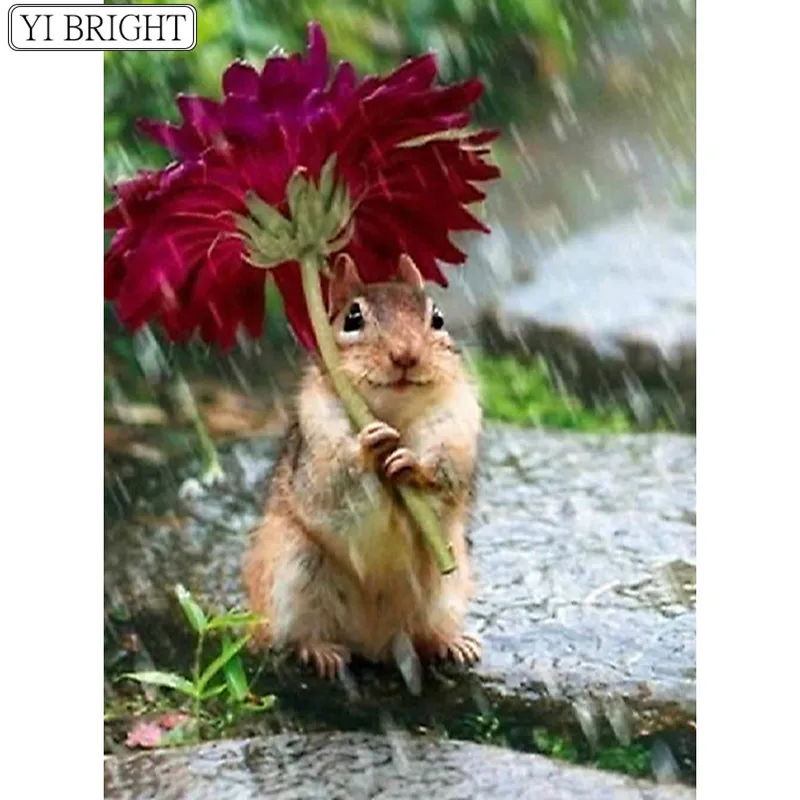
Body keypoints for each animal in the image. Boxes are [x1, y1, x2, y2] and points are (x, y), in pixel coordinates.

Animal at [243, 252, 482, 681]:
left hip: (447, 589)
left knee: (426, 632)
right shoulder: (318, 441)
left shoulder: (456, 429)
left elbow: (445, 477)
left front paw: (412, 465)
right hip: (293, 571)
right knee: (296, 633)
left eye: (437, 318)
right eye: (352, 318)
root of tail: (376, 643)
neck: (392, 413)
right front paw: (369, 446)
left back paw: (451, 642)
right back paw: (319, 651)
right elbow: (336, 480)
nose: (406, 355)